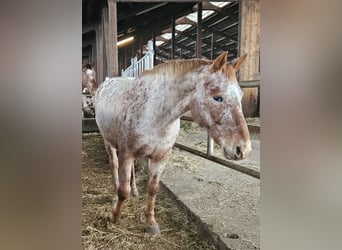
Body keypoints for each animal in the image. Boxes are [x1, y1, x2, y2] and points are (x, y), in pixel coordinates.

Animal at [93, 51, 251, 234]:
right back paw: (113, 195)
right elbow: (123, 191)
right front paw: (113, 216)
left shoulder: (161, 157)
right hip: (109, 143)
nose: (243, 149)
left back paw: (135, 190)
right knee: (114, 166)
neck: (154, 113)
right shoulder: (127, 153)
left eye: (241, 95)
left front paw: (151, 223)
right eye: (217, 97)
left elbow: (153, 189)